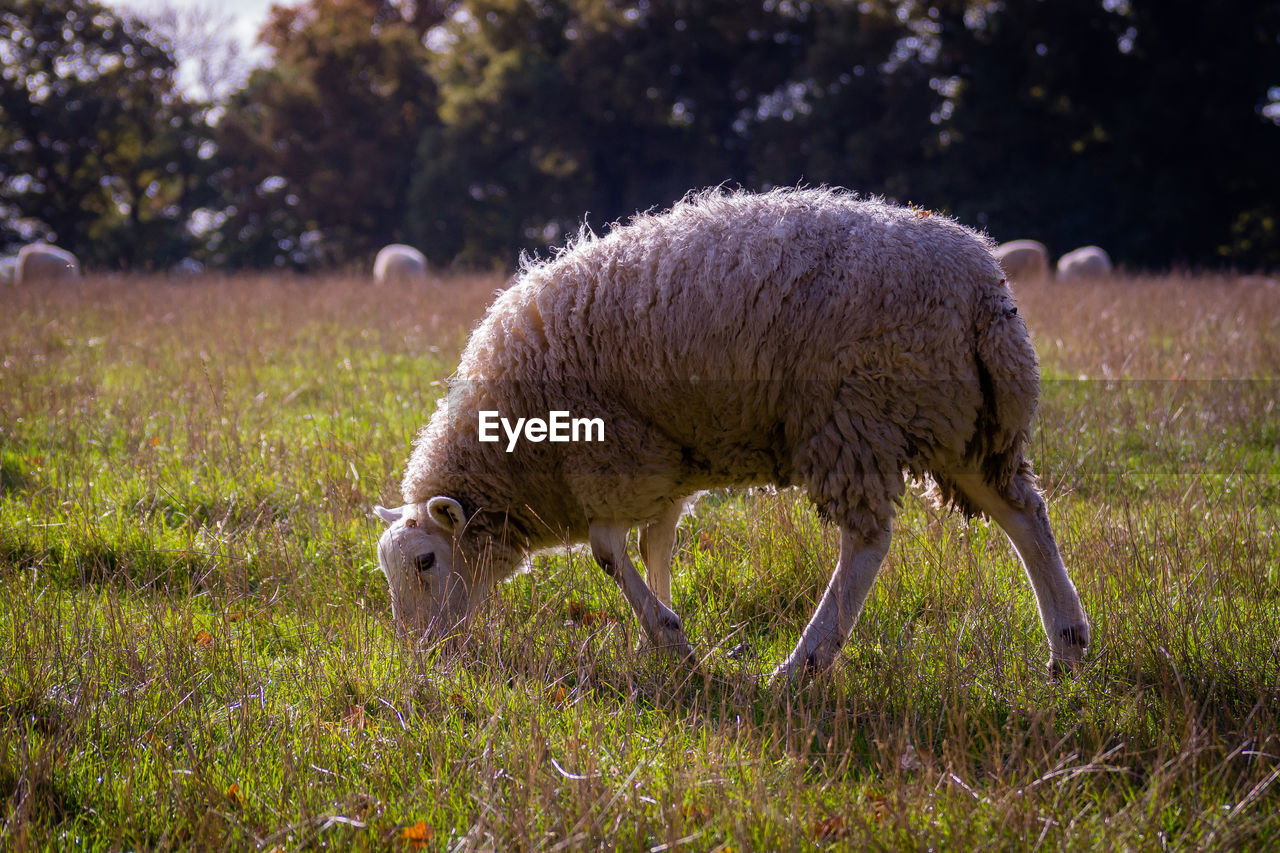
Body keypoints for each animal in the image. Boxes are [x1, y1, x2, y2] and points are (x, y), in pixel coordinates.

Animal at [371, 185, 1090, 676]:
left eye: (426, 562)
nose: (419, 655)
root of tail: (981, 287)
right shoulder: (664, 466)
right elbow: (656, 545)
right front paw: (664, 638)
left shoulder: (611, 454)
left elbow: (607, 550)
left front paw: (668, 635)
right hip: (966, 426)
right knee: (1024, 514)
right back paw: (1068, 646)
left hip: (857, 414)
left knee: (867, 542)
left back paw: (802, 664)